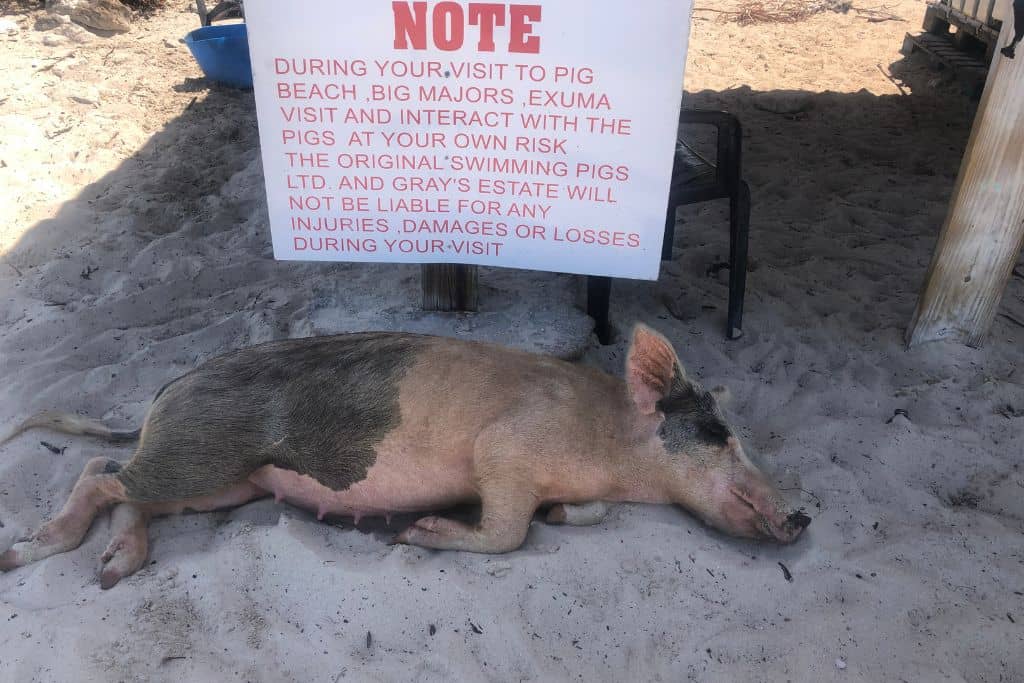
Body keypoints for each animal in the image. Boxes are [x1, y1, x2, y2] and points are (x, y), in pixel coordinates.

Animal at [0, 325, 811, 589]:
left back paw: (113, 572)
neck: (609, 446)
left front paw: (565, 515)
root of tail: (167, 388)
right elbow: (508, 530)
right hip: (200, 455)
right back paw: (24, 553)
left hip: (226, 485)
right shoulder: (503, 447)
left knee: (128, 494)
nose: (802, 517)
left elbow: (577, 516)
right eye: (722, 434)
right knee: (99, 475)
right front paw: (415, 535)